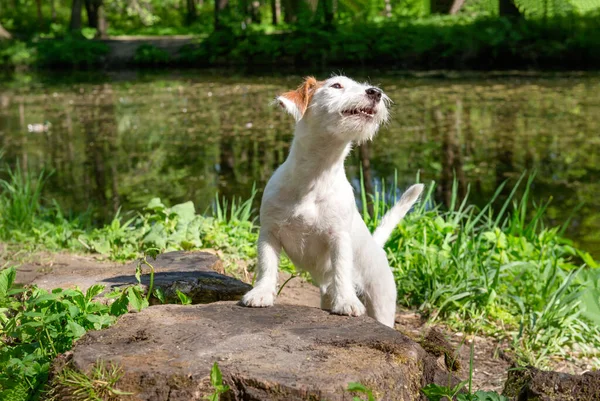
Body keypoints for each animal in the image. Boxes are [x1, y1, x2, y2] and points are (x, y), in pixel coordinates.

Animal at [239, 76, 422, 328]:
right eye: (336, 85)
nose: (375, 92)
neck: (316, 175)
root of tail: (376, 246)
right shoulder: (269, 233)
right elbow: (267, 264)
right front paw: (261, 293)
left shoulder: (339, 238)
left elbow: (342, 269)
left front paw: (346, 301)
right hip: (326, 294)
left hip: (382, 301)